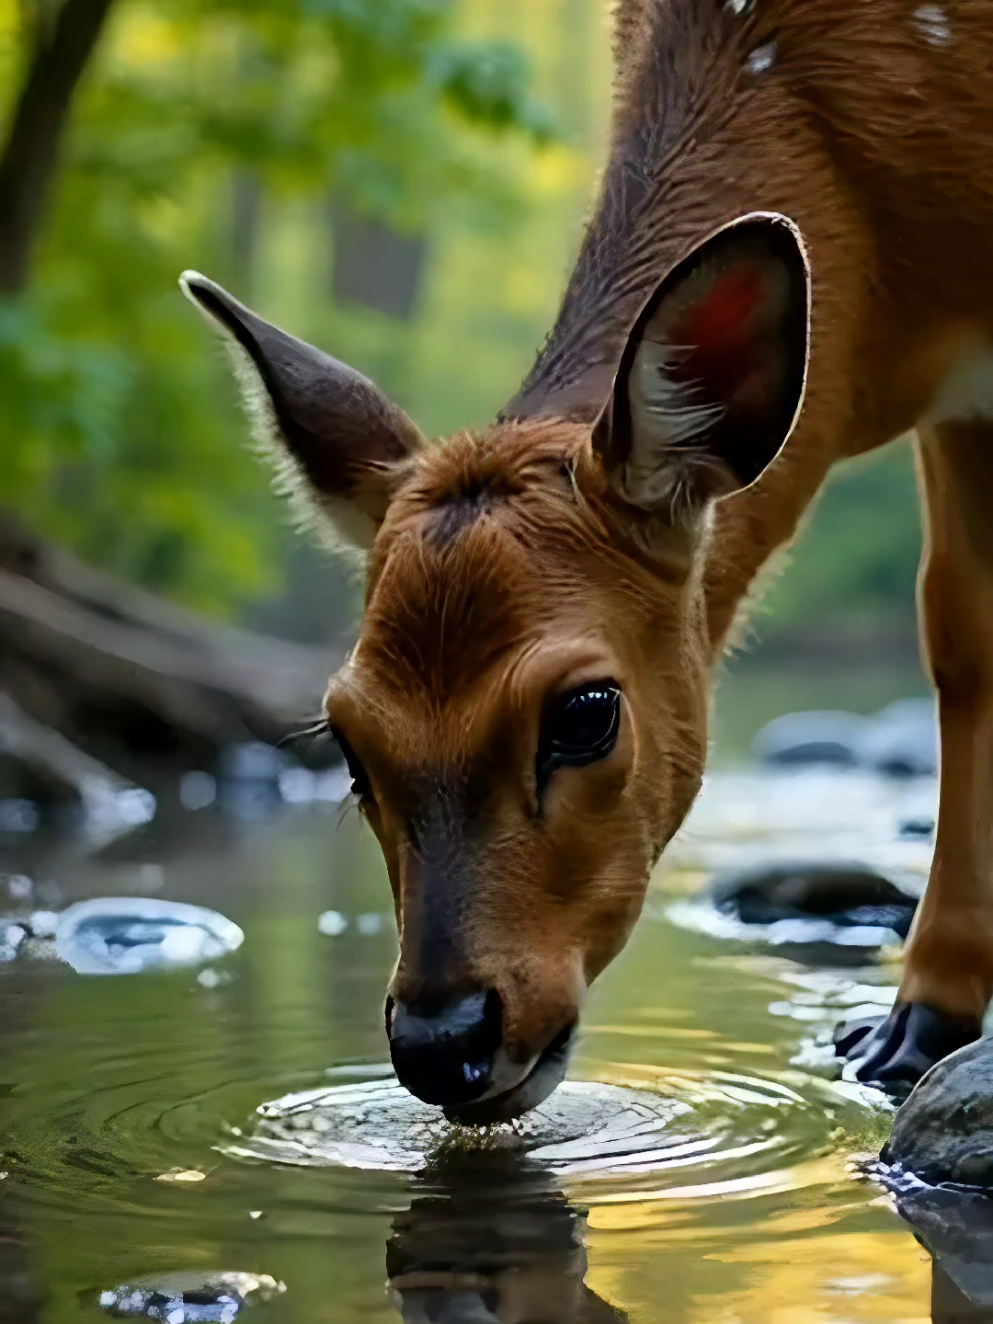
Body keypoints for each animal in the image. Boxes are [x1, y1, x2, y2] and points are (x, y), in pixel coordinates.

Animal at [181, 0, 993, 1121]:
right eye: (344, 739)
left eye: (585, 712)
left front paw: (918, 1025)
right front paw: (916, 1024)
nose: (442, 1040)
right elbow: (961, 636)